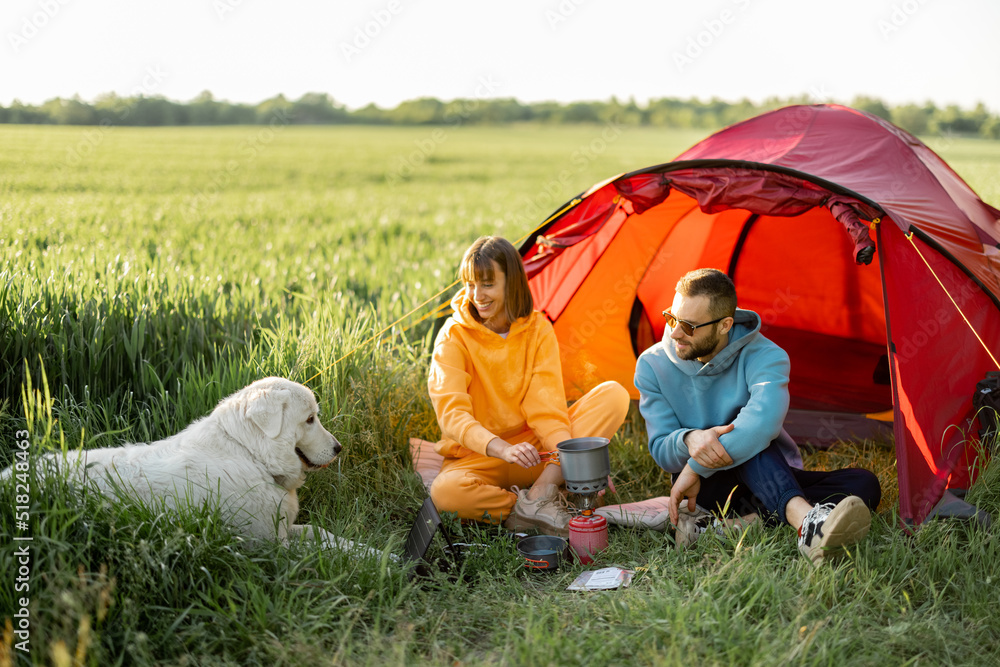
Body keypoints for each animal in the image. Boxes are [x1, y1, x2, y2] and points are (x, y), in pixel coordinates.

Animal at [6, 376, 382, 560]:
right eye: (310, 420)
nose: (339, 448)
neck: (250, 454)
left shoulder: (284, 530)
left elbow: (327, 536)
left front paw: (380, 554)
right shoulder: (271, 545)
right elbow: (327, 550)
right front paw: (378, 562)